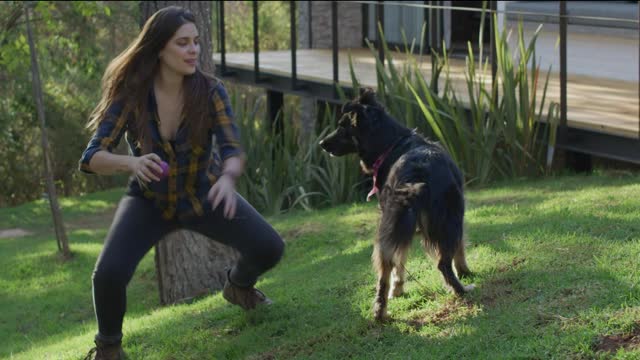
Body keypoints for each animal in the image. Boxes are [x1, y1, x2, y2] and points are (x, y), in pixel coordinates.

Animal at [318, 87, 472, 320]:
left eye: (342, 126)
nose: (322, 144)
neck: (392, 143)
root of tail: (416, 173)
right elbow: (459, 246)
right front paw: (465, 271)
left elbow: (402, 259)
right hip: (445, 218)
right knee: (440, 263)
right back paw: (459, 289)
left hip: (389, 227)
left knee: (386, 270)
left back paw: (380, 311)